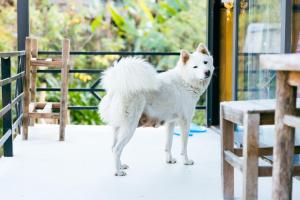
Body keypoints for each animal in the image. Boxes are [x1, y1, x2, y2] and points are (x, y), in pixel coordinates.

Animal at [99, 43, 214, 175]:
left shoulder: (171, 123)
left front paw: (169, 160)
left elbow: (168, 144)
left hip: (118, 127)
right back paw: (118, 172)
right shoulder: (185, 122)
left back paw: (121, 166)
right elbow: (184, 146)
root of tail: (116, 88)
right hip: (129, 127)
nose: (207, 72)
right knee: (117, 149)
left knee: (113, 147)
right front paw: (186, 161)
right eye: (195, 67)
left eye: (205, 62)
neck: (185, 80)